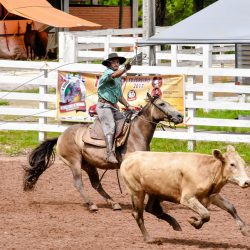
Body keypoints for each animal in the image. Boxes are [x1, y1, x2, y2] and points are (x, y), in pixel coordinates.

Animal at [23, 93, 184, 216]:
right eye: (162, 104)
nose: (180, 116)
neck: (135, 134)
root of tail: (60, 136)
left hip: (88, 165)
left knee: (96, 184)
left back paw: (113, 204)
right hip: (75, 162)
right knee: (79, 183)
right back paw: (92, 204)